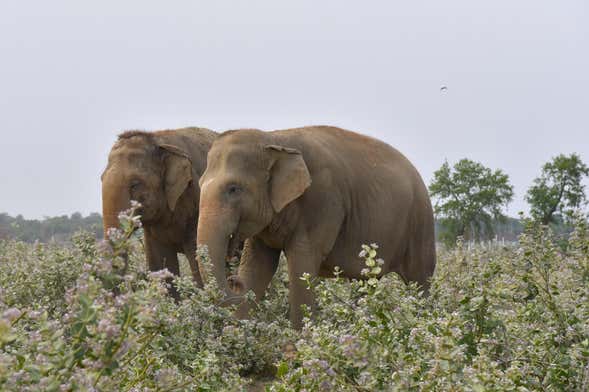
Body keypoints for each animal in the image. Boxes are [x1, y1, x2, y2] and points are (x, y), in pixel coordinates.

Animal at [101, 127, 216, 296]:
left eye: (135, 184)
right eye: (101, 178)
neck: (157, 139)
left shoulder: (197, 201)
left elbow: (197, 257)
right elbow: (160, 263)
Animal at [198, 125, 436, 328]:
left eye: (233, 189)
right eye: (199, 185)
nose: (234, 280)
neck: (275, 139)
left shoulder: (323, 202)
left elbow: (302, 264)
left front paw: (299, 343)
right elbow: (257, 265)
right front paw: (237, 335)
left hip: (420, 223)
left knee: (419, 281)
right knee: (366, 283)